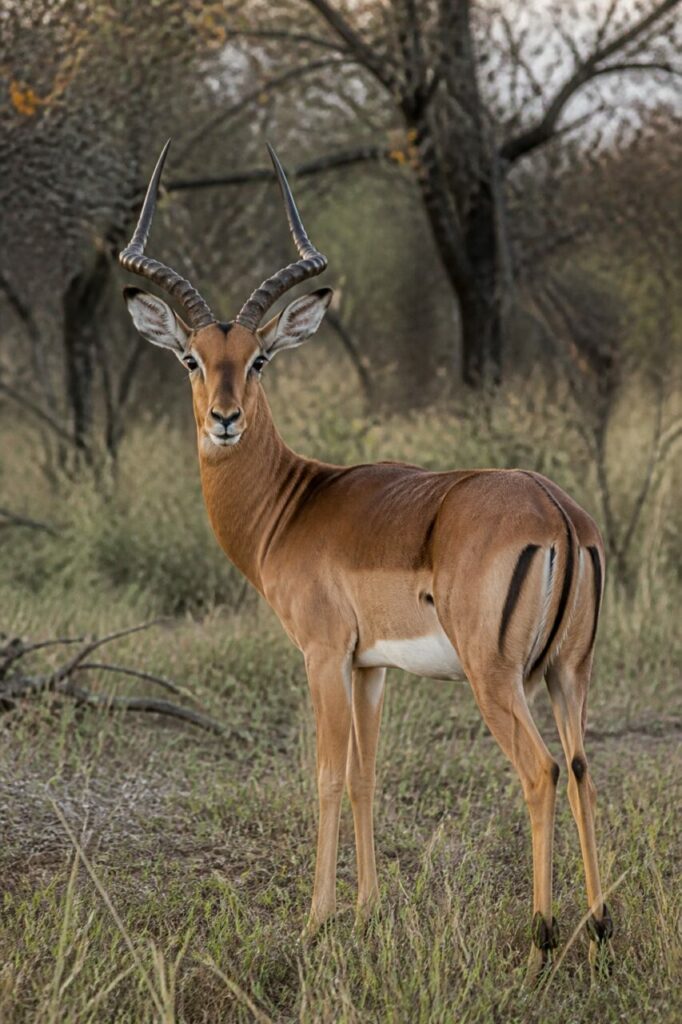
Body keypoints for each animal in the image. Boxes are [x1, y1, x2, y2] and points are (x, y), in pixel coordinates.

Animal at [120, 141, 613, 979]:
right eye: (191, 357)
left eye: (258, 360)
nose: (224, 420)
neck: (294, 503)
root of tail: (555, 509)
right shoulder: (371, 666)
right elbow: (365, 776)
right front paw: (366, 910)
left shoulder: (322, 654)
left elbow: (324, 776)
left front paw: (317, 921)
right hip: (566, 674)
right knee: (581, 767)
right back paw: (600, 925)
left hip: (497, 679)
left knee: (541, 770)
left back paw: (543, 933)